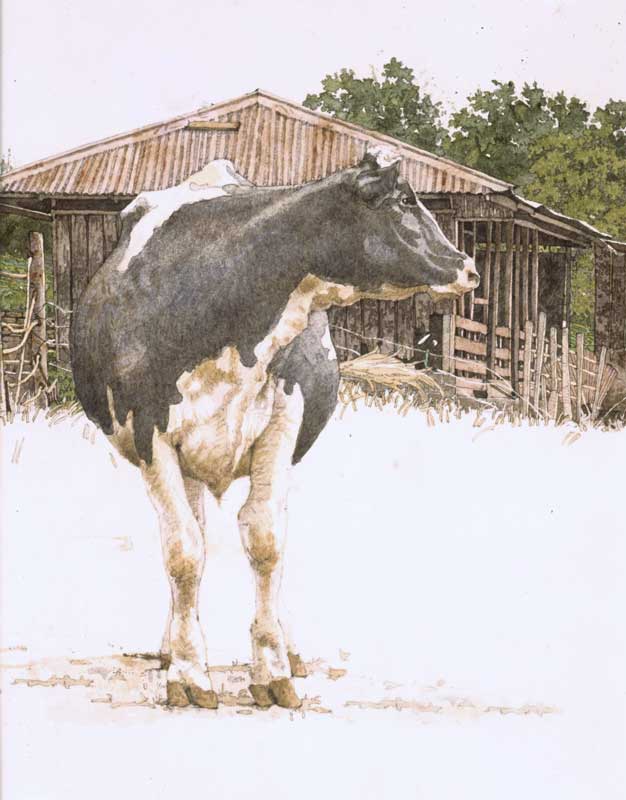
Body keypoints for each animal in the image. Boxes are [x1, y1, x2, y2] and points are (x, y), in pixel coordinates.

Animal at [70, 150, 479, 710]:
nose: (469, 267)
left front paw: (272, 668)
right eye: (403, 200)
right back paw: (172, 645)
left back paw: (289, 647)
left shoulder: (285, 418)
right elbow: (183, 553)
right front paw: (188, 674)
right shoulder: (147, 430)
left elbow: (266, 542)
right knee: (191, 536)